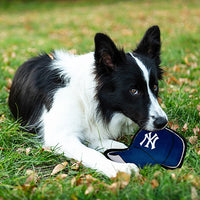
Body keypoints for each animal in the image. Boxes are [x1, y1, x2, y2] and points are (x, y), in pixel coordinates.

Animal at [8, 25, 167, 178]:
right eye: (133, 90)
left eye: (155, 87)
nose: (162, 122)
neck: (85, 99)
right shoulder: (59, 137)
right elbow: (92, 153)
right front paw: (117, 168)